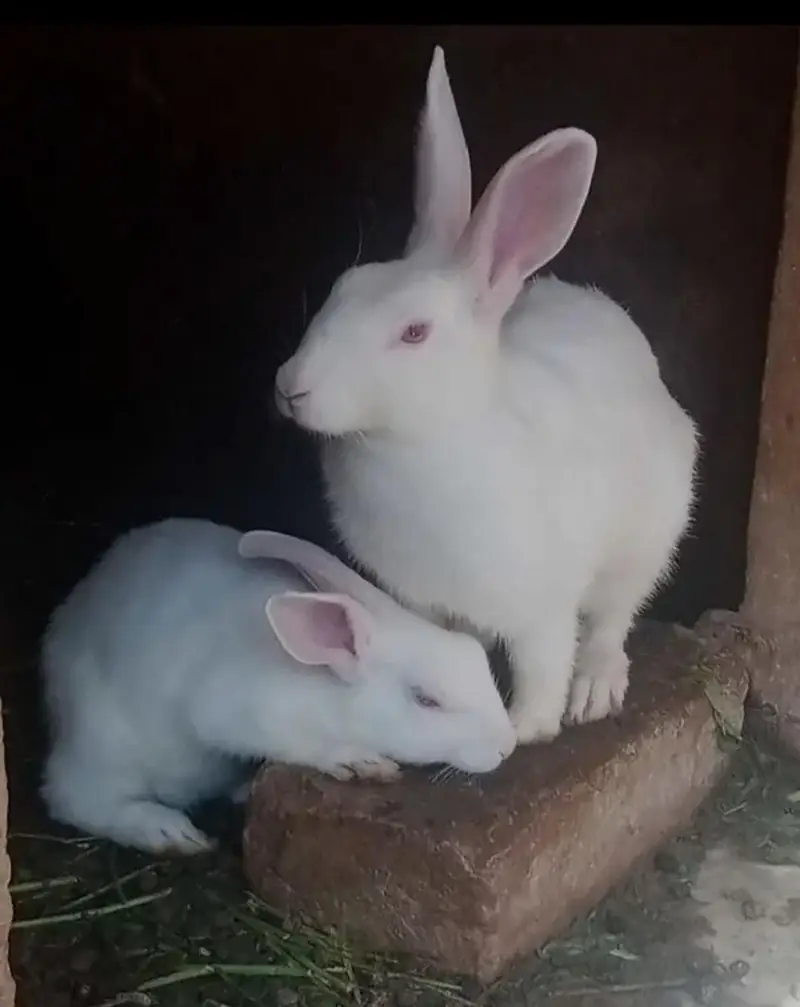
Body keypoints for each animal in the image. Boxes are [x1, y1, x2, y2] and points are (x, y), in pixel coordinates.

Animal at [40, 518, 516, 854]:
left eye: (477, 655)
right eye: (426, 700)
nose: (507, 746)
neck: (327, 686)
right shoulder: (233, 707)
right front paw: (360, 762)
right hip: (105, 745)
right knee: (74, 797)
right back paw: (170, 833)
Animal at [273, 46, 699, 746]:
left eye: (415, 332)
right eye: (342, 286)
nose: (290, 386)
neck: (417, 444)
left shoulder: (544, 603)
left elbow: (543, 661)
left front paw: (529, 728)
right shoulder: (418, 599)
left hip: (647, 538)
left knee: (613, 620)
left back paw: (595, 692)